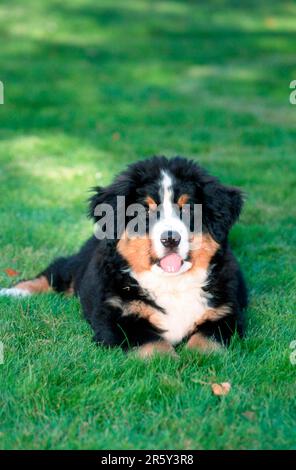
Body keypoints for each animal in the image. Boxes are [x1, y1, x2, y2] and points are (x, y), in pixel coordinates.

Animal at [0, 157, 247, 356]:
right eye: (144, 211)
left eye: (188, 209)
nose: (170, 239)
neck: (172, 285)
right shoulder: (116, 315)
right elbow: (154, 346)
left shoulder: (225, 313)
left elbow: (206, 343)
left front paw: (198, 363)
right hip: (74, 265)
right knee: (53, 274)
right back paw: (13, 292)